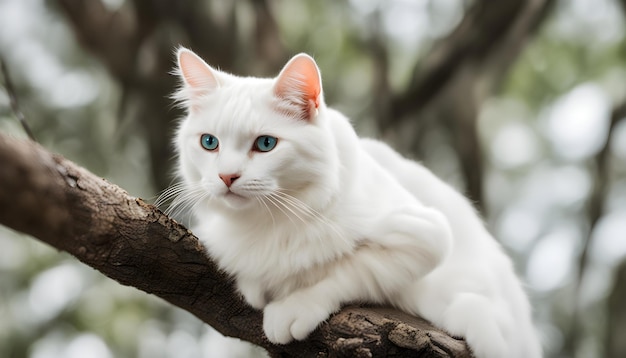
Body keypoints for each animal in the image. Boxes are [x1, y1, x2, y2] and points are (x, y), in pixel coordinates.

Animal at [166, 47, 540, 358]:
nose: (226, 177)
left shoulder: (425, 234)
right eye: (209, 142)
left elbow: (348, 270)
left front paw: (293, 307)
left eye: (266, 144)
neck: (269, 220)